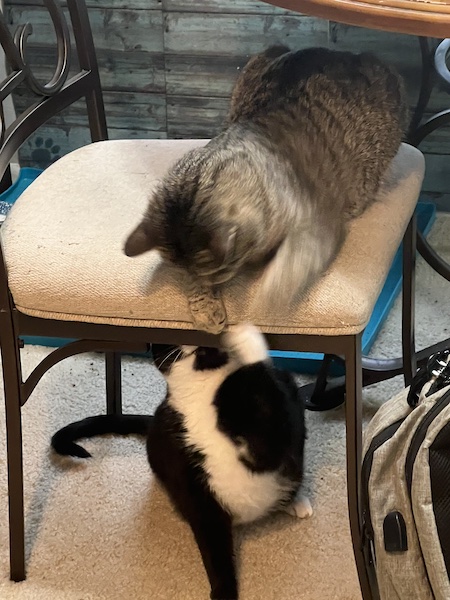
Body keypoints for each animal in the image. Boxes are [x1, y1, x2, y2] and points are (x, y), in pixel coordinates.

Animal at [51, 326, 312, 596]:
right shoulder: (198, 496)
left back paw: (295, 501)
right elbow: (215, 555)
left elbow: (266, 402)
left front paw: (244, 337)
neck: (208, 392)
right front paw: (224, 592)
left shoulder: (271, 438)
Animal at [123, 46, 408, 328]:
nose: (213, 284)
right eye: (203, 279)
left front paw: (269, 295)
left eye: (221, 273)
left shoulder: (319, 226)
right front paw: (205, 306)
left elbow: (293, 264)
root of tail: (343, 52)